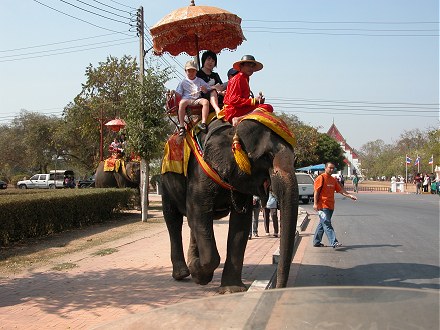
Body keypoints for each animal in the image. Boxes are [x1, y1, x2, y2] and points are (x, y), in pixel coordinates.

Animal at [162, 116, 300, 294]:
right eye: (266, 157)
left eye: (295, 160)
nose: (277, 288)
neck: (231, 128)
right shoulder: (199, 172)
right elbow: (199, 213)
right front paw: (199, 276)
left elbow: (240, 224)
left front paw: (231, 289)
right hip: (166, 180)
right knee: (173, 219)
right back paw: (182, 274)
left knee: (192, 224)